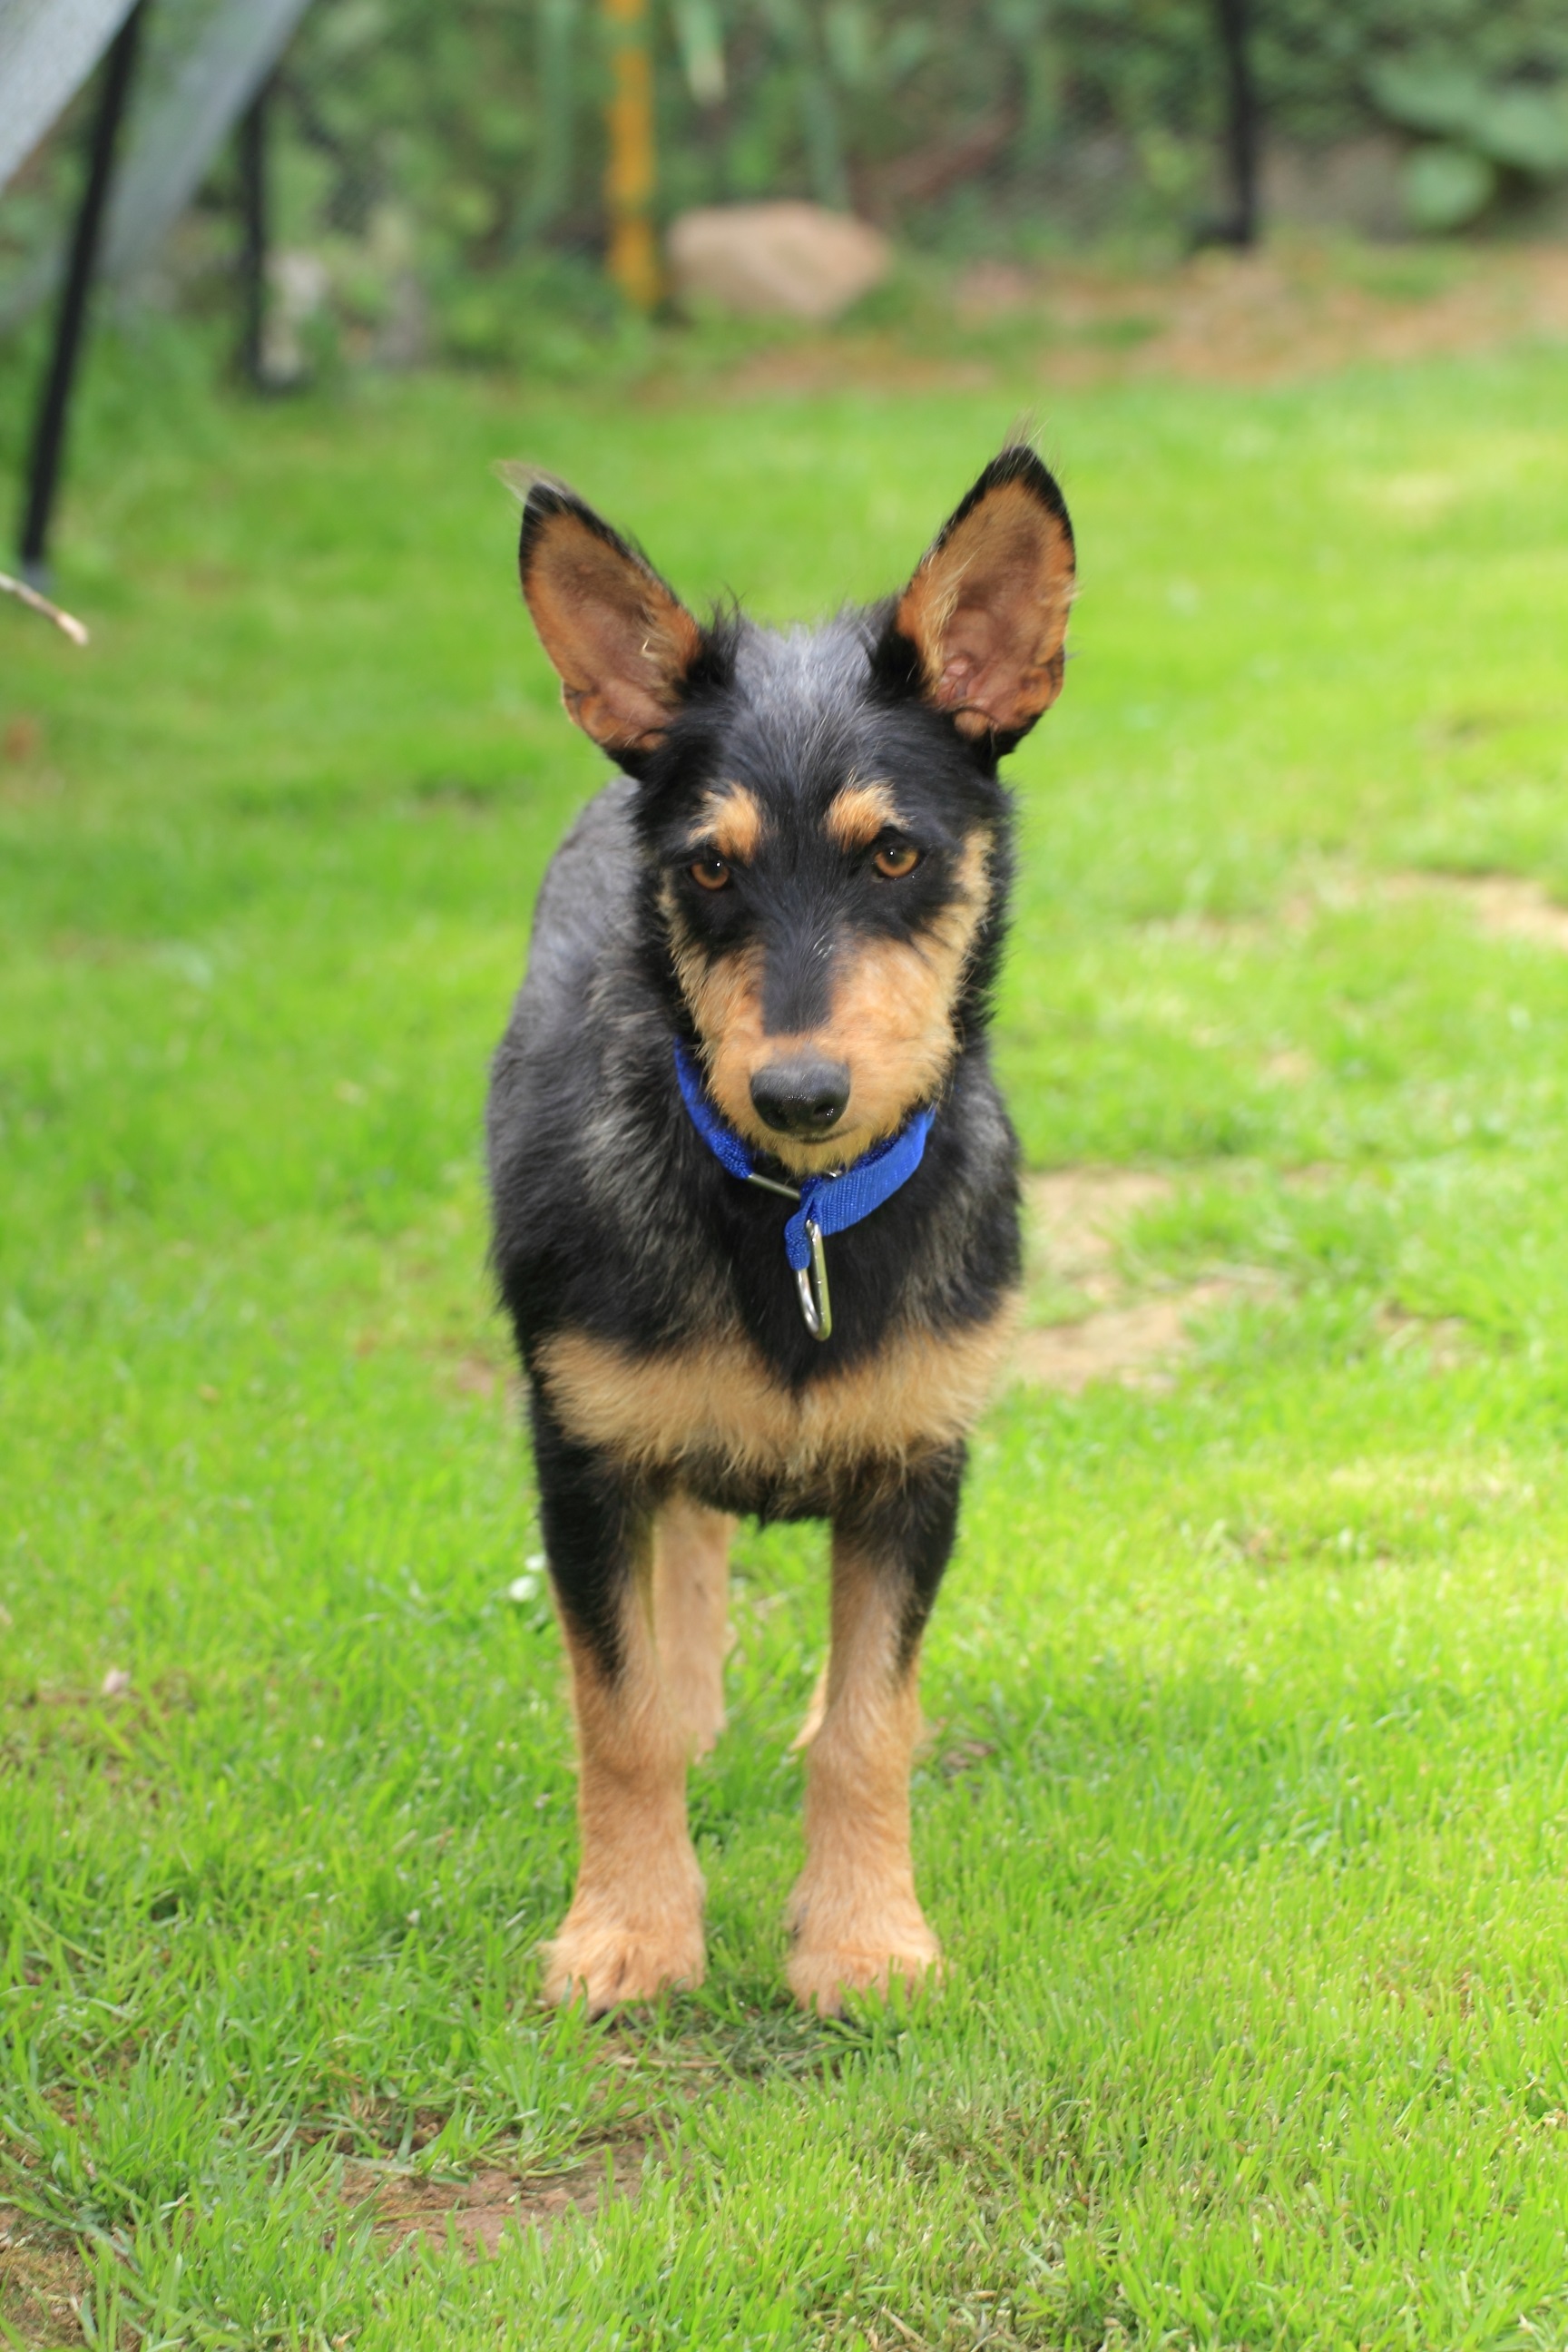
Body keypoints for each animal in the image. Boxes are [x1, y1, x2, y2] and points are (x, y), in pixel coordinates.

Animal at [487, 443, 1075, 2014]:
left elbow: (871, 1721)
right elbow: (614, 1711)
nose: (799, 1092)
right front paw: (629, 1930)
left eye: (895, 857)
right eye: (708, 870)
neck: (794, 1213)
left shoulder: (919, 1466)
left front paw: (865, 1937)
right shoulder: (579, 1450)